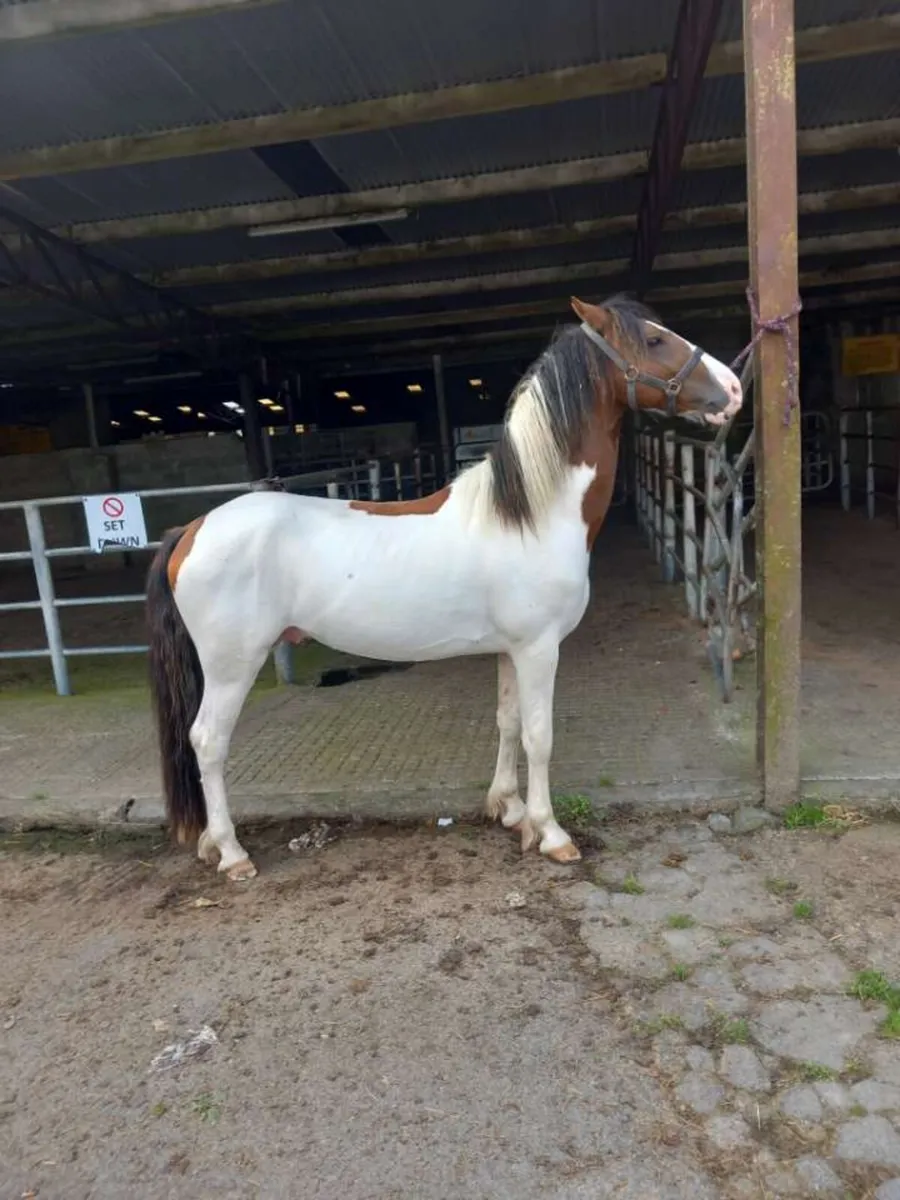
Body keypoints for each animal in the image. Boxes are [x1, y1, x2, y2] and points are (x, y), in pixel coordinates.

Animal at [146, 295, 742, 880]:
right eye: (655, 340)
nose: (733, 389)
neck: (531, 515)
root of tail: (192, 529)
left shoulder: (510, 650)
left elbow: (507, 723)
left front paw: (510, 810)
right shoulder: (540, 648)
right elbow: (540, 736)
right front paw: (551, 834)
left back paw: (210, 843)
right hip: (232, 664)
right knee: (208, 741)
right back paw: (232, 853)